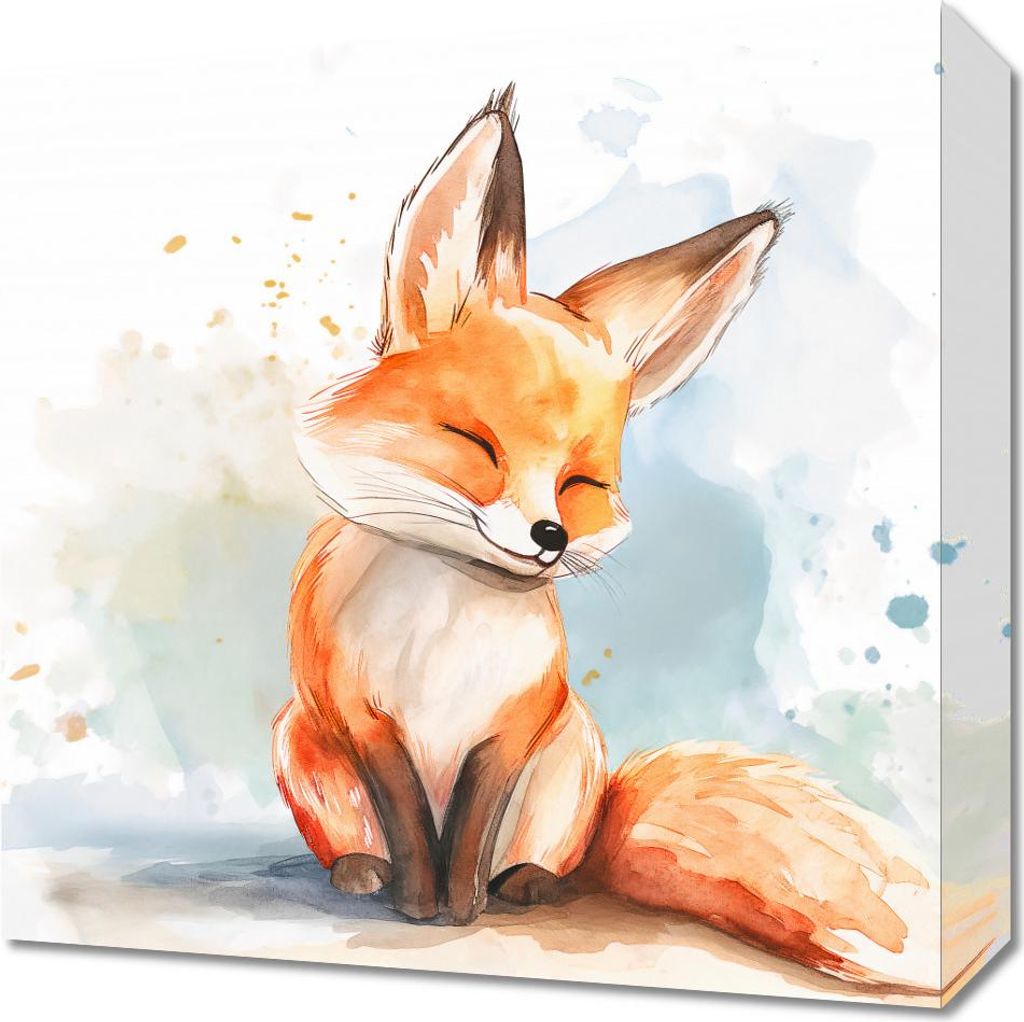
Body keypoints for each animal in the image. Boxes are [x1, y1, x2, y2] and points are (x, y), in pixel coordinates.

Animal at [273, 86, 935, 985]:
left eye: (580, 485)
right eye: (476, 443)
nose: (548, 535)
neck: (447, 612)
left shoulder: (513, 724)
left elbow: (469, 830)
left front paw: (460, 907)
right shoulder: (362, 717)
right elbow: (411, 822)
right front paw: (418, 904)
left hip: (571, 754)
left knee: (548, 861)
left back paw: (526, 886)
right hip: (299, 741)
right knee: (360, 842)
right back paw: (360, 872)